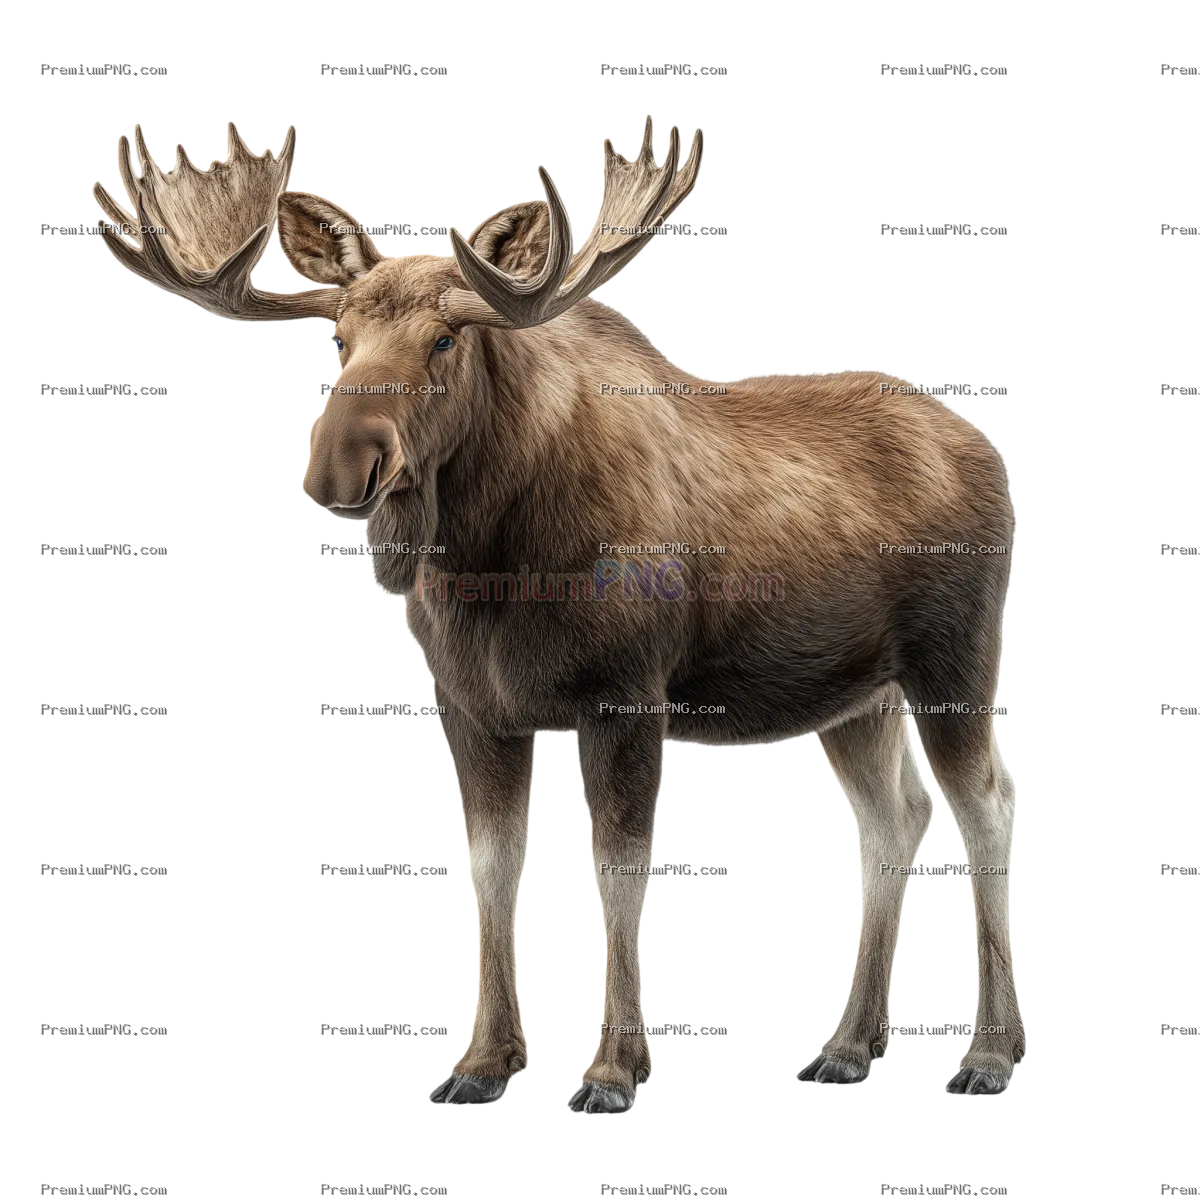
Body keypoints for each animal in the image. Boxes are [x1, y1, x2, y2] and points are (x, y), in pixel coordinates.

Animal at [93, 118, 1022, 1104]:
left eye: (445, 341)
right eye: (339, 339)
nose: (340, 465)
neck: (492, 569)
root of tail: (989, 453)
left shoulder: (628, 697)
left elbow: (617, 866)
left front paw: (613, 1068)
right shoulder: (474, 708)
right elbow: (493, 866)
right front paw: (483, 1062)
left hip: (954, 659)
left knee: (986, 801)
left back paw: (990, 1052)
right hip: (854, 697)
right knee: (895, 816)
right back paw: (848, 1046)